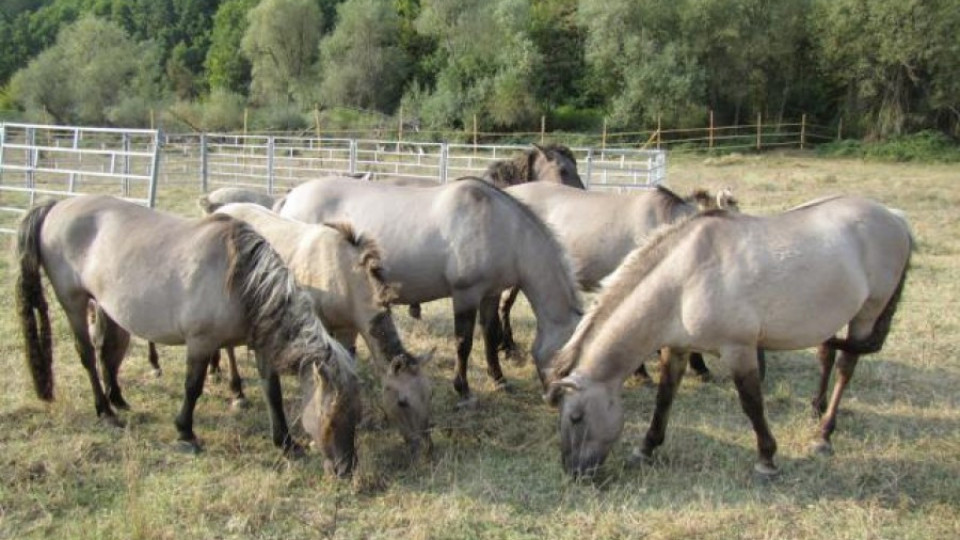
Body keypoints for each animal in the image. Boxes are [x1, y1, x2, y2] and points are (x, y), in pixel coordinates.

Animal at [16, 195, 362, 476]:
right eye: (332, 413)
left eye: (355, 412)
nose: (346, 469)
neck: (240, 278)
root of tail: (56, 205)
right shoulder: (201, 343)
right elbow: (193, 387)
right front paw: (186, 434)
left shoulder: (261, 345)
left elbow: (272, 391)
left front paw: (287, 443)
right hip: (73, 303)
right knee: (88, 354)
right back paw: (106, 411)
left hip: (103, 307)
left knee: (107, 351)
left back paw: (118, 399)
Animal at [215, 202, 436, 452]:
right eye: (402, 402)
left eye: (429, 394)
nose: (426, 447)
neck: (343, 272)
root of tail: (222, 209)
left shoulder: (347, 330)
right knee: (229, 348)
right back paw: (236, 392)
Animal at [274, 175, 580, 402]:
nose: (555, 400)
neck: (500, 226)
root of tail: (289, 197)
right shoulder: (465, 294)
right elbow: (463, 343)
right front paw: (463, 389)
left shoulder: (490, 294)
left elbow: (490, 336)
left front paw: (499, 379)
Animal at [544, 196, 912, 478]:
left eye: (576, 417)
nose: (575, 473)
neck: (685, 278)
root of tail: (894, 216)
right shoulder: (677, 349)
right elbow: (664, 398)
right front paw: (646, 447)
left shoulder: (739, 350)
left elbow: (751, 403)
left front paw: (766, 459)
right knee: (827, 355)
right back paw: (815, 409)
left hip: (866, 313)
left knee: (847, 367)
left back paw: (823, 435)